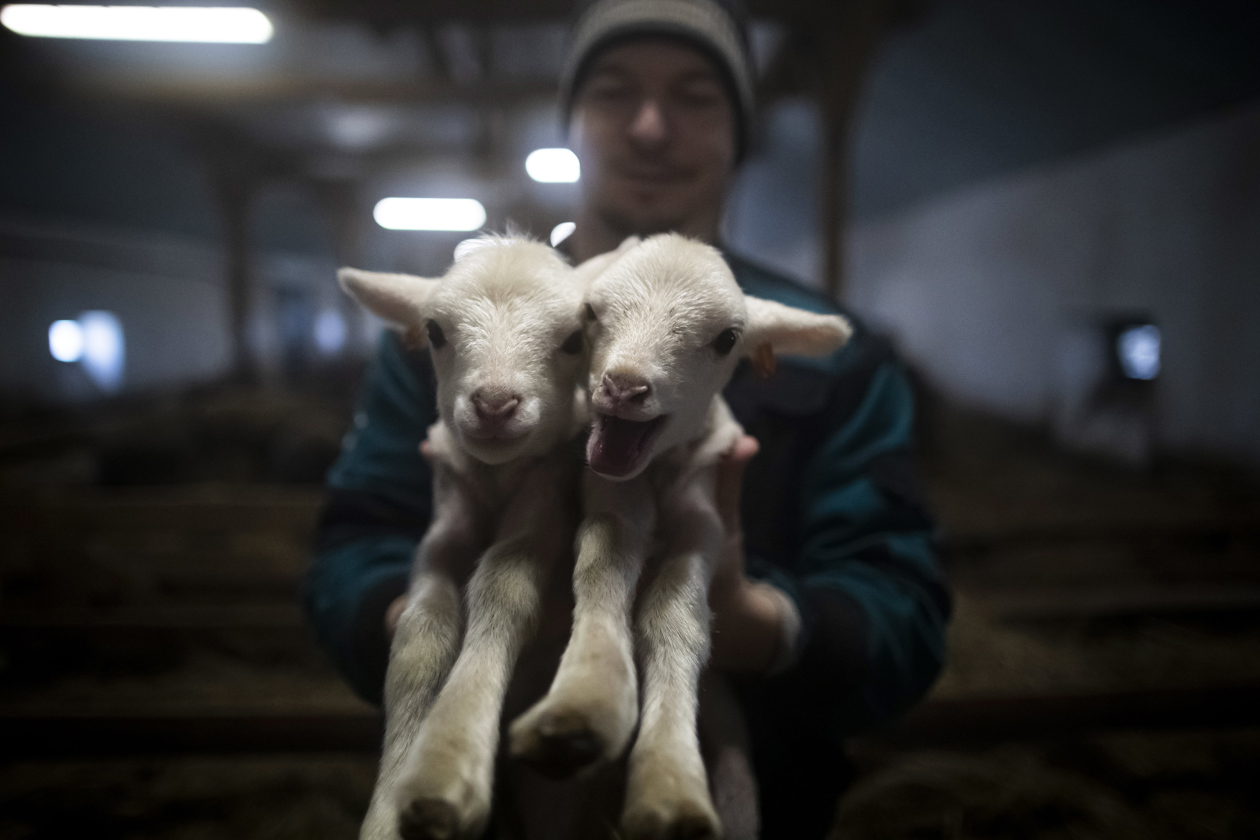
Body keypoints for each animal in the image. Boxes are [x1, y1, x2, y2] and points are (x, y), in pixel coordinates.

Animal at [337, 236, 597, 840]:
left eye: (575, 339)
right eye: (434, 332)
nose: (495, 403)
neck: (497, 481)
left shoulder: (544, 503)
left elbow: (503, 584)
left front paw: (446, 765)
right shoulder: (445, 520)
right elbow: (420, 631)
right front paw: (389, 807)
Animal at [511, 231, 856, 840]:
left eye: (727, 340)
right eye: (591, 312)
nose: (624, 386)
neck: (652, 477)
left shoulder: (703, 516)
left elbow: (675, 613)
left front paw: (669, 785)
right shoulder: (611, 502)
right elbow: (600, 571)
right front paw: (580, 709)